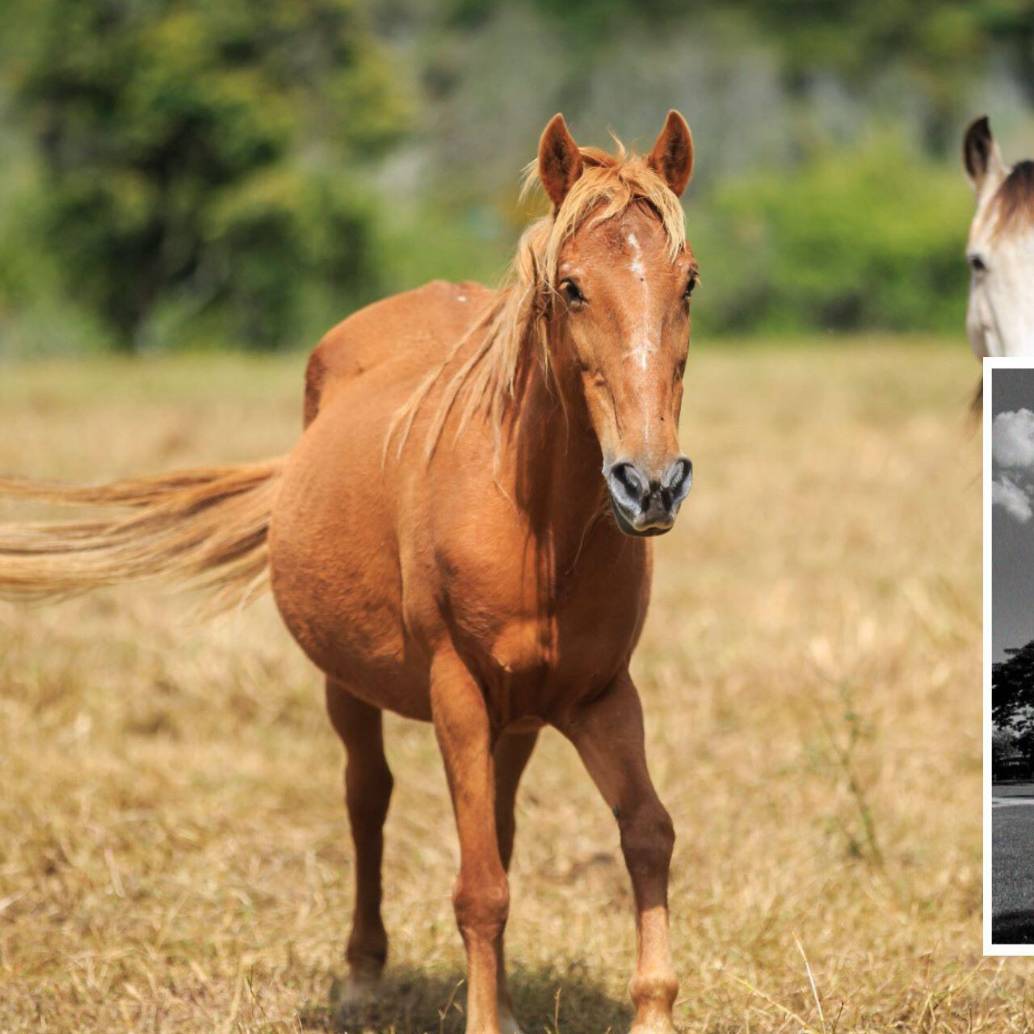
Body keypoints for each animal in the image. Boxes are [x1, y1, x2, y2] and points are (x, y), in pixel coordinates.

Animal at [0, 110, 698, 1034]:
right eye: (573, 287)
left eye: (688, 283)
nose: (649, 483)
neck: (535, 523)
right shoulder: (456, 693)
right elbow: (480, 887)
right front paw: (480, 1018)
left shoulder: (602, 696)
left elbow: (645, 834)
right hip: (350, 686)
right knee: (369, 801)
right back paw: (364, 975)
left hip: (516, 718)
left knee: (496, 824)